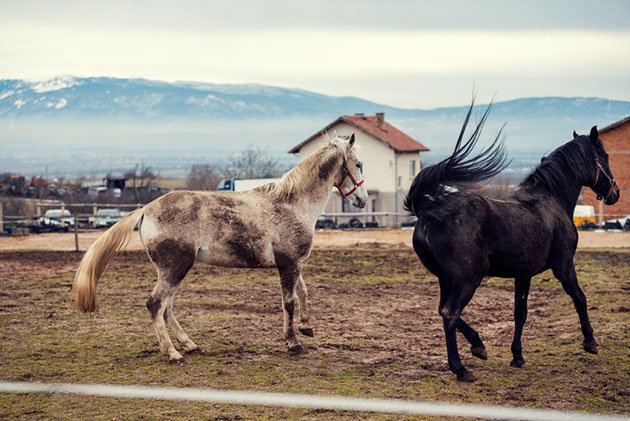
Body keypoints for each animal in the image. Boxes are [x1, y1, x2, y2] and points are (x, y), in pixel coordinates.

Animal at [404, 104, 624, 380]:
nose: (615, 193)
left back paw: (478, 346)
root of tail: (429, 212)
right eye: (604, 155)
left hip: (446, 278)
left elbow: (520, 313)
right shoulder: (564, 266)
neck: (551, 199)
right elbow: (580, 297)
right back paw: (461, 369)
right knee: (450, 313)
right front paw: (590, 342)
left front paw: (517, 356)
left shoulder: (524, 274)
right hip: (467, 278)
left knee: (442, 310)